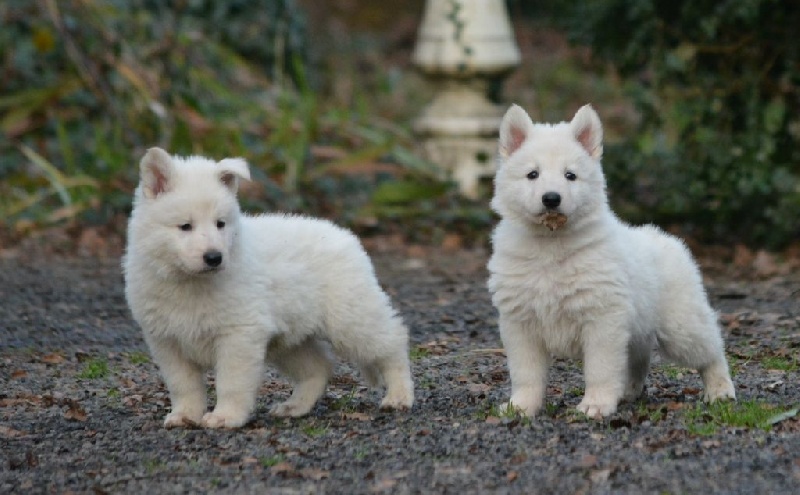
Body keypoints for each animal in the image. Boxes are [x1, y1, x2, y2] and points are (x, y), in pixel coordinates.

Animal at [126, 148, 412, 430]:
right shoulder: (167, 341)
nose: (214, 258)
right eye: (185, 226)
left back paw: (399, 396)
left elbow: (231, 382)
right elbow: (183, 384)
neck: (190, 282)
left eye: (220, 223)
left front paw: (225, 416)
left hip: (350, 319)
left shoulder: (238, 334)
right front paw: (185, 415)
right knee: (318, 367)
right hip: (288, 339)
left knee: (393, 343)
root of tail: (345, 236)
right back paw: (294, 407)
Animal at [484, 104, 736, 418]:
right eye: (533, 174)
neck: (551, 245)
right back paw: (628, 391)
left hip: (681, 327)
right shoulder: (520, 323)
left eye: (570, 175)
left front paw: (596, 404)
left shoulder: (602, 319)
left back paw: (720, 390)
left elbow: (600, 368)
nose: (551, 198)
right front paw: (520, 406)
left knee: (711, 350)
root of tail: (666, 239)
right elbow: (526, 372)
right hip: (640, 328)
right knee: (638, 359)